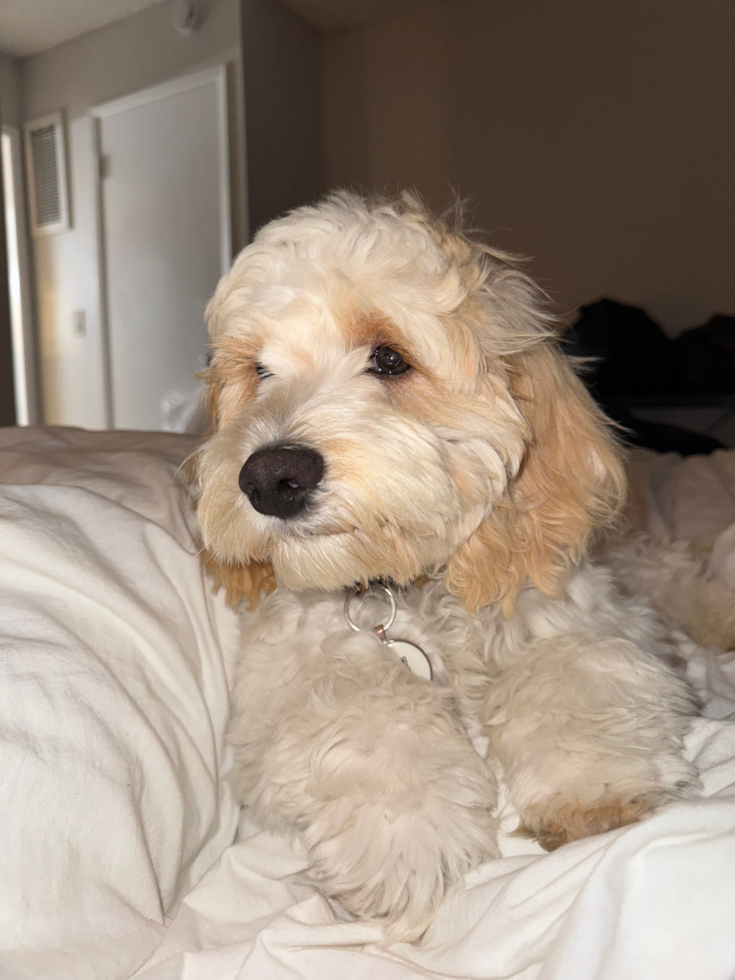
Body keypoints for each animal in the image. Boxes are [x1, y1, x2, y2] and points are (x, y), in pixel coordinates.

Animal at [193, 189, 700, 940]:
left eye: (388, 358)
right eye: (257, 371)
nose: (268, 479)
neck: (410, 590)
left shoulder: (589, 617)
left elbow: (570, 669)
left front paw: (593, 791)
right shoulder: (284, 683)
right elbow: (364, 709)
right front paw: (404, 845)